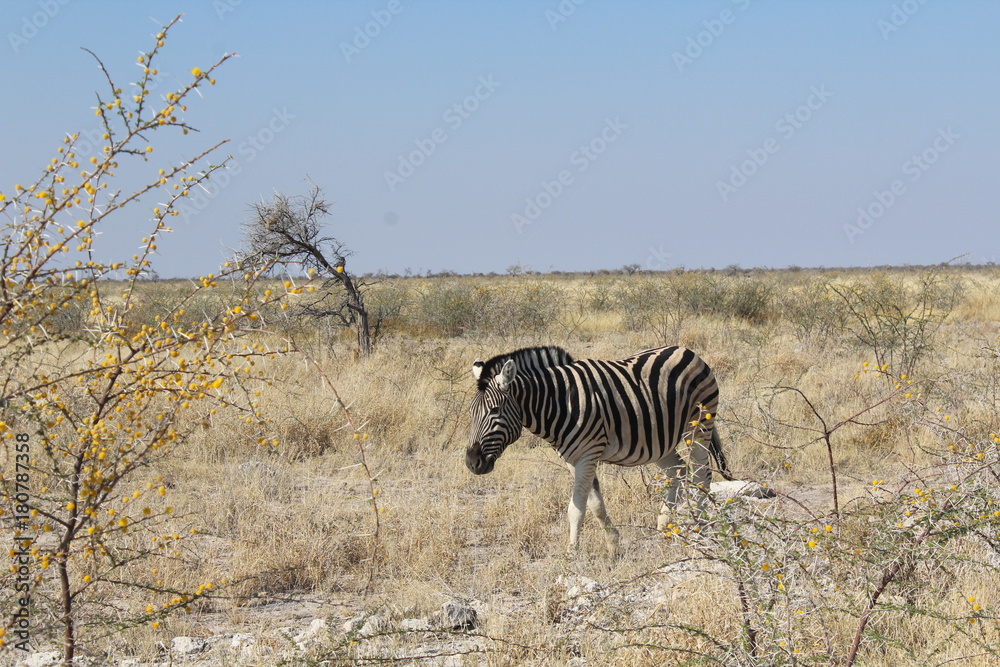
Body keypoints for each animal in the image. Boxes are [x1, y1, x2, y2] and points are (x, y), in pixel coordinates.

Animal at [465, 345, 732, 554]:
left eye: (495, 411)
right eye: (471, 413)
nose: (471, 462)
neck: (558, 402)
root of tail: (687, 351)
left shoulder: (588, 453)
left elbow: (576, 508)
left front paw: (572, 555)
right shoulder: (574, 458)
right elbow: (594, 505)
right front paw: (613, 545)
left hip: (699, 426)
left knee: (701, 475)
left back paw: (701, 530)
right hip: (661, 440)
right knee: (677, 471)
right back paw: (664, 527)